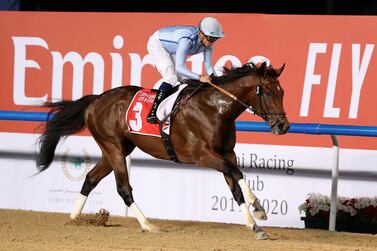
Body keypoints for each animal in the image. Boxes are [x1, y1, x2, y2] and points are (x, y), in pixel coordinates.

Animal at [35, 61, 288, 239]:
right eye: (267, 92)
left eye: (282, 92)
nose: (283, 126)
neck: (215, 109)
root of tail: (96, 100)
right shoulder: (203, 155)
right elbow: (237, 173)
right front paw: (259, 208)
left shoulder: (227, 153)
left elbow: (235, 187)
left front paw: (255, 226)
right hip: (112, 147)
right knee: (123, 188)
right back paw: (148, 225)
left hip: (117, 149)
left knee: (90, 178)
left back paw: (74, 218)